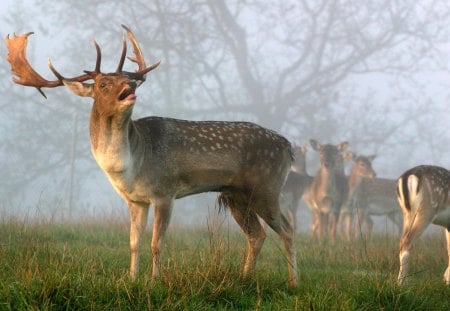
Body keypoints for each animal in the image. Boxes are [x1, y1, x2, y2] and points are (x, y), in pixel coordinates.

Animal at [5, 26, 298, 288]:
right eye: (103, 83)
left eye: (125, 77)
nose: (132, 83)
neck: (132, 165)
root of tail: (289, 147)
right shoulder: (135, 200)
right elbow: (134, 243)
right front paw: (131, 279)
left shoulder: (164, 192)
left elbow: (157, 243)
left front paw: (154, 281)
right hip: (236, 195)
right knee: (257, 235)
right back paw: (245, 278)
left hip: (266, 187)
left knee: (287, 229)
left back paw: (293, 283)